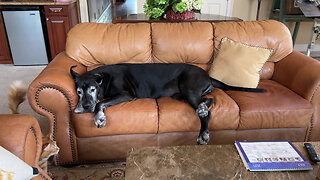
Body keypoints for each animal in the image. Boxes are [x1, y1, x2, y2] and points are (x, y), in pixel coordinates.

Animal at [72, 63, 264, 145]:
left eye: (92, 89)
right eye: (79, 91)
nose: (86, 106)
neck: (104, 79)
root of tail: (207, 75)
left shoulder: (126, 94)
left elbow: (100, 104)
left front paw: (99, 117)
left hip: (189, 88)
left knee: (207, 113)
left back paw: (203, 133)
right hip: (181, 95)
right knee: (209, 101)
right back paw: (202, 108)